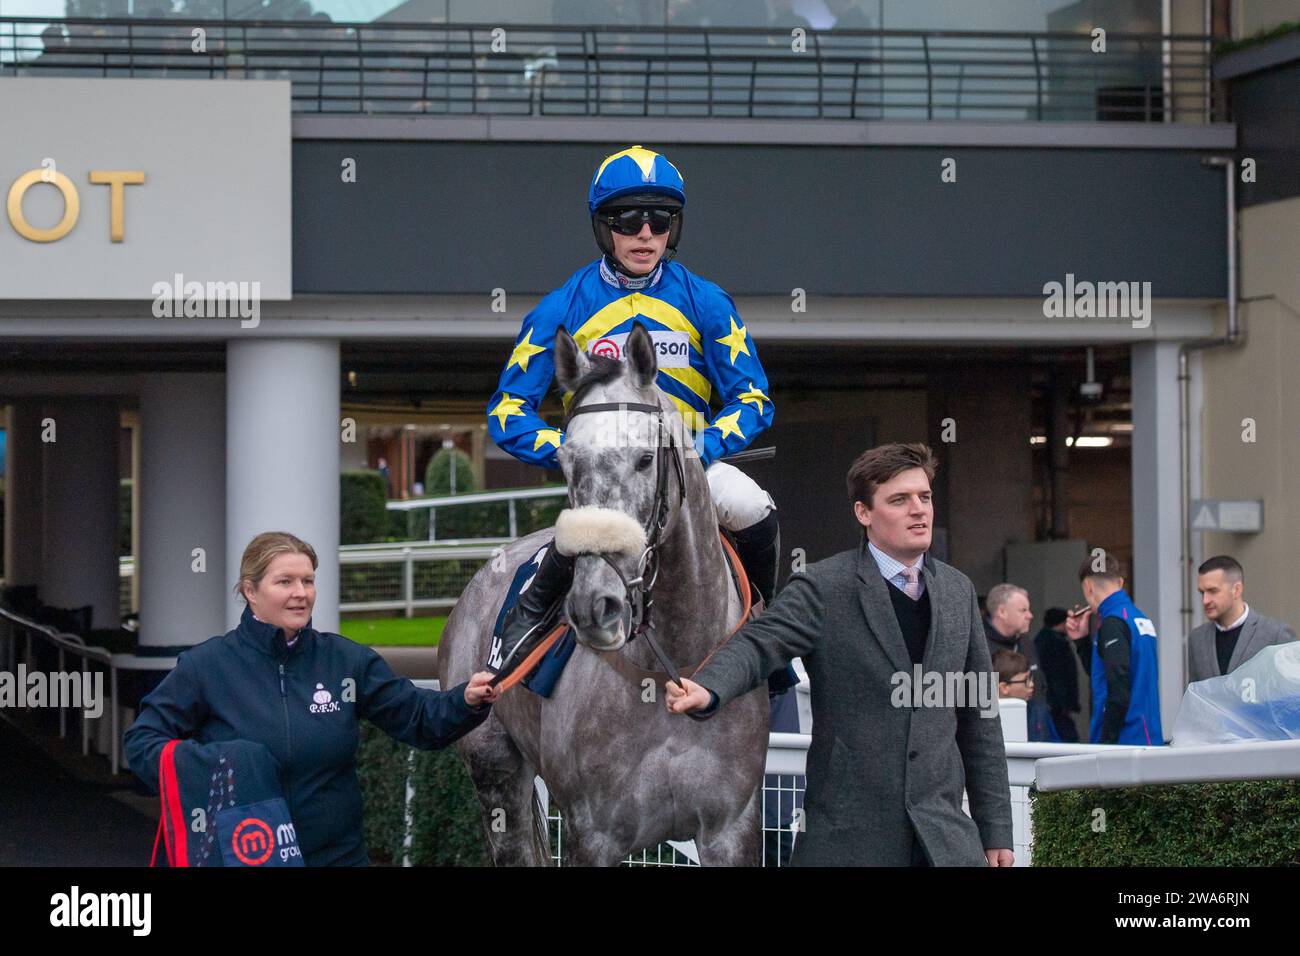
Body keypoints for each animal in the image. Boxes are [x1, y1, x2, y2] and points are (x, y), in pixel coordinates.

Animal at [436, 323, 764, 868]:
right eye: (566, 462)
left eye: (646, 459)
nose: (596, 607)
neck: (669, 672)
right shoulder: (591, 833)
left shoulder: (731, 830)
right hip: (495, 768)